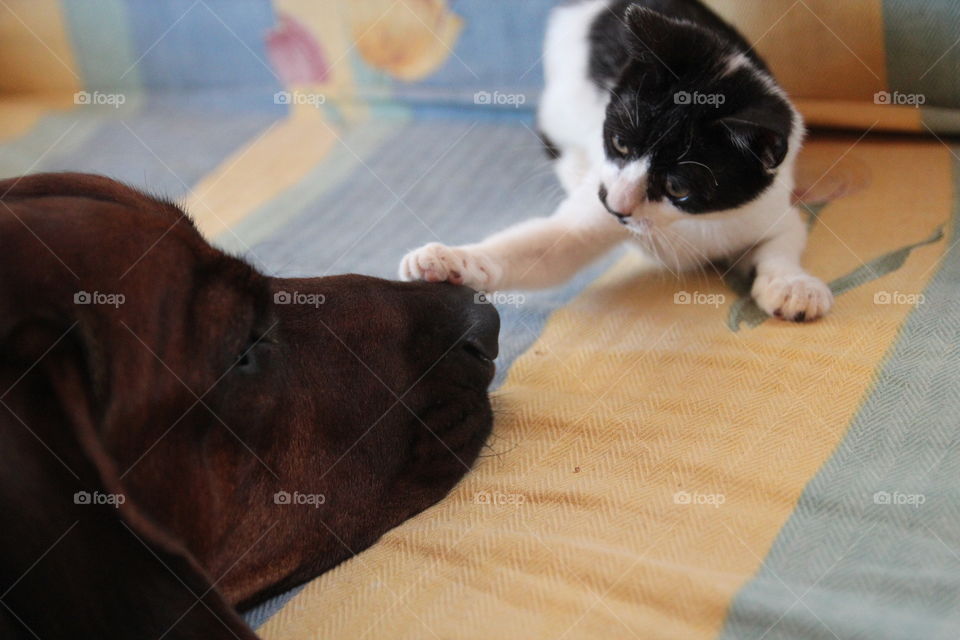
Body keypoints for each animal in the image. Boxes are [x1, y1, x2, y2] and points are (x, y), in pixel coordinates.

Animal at [398, 0, 832, 320]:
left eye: (677, 186)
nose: (614, 204)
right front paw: (451, 260)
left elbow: (783, 241)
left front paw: (792, 284)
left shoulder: (766, 204)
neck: (686, 225)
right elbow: (545, 247)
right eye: (620, 144)